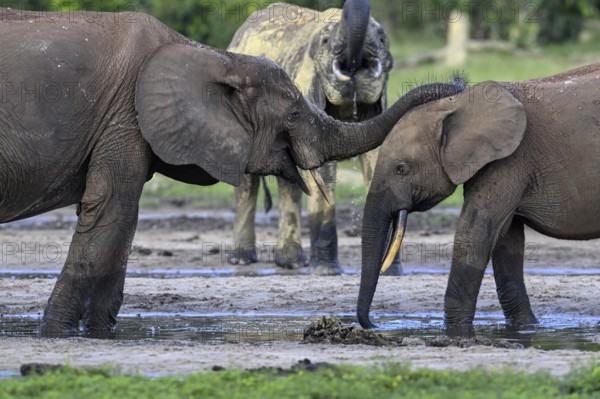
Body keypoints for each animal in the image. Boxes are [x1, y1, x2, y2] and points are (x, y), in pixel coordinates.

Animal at [223, 0, 396, 276]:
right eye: (325, 41)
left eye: (381, 39)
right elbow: (323, 166)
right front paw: (327, 272)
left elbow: (379, 157)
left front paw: (389, 272)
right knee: (248, 184)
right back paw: (241, 260)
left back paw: (291, 263)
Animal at [354, 65, 600, 334]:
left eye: (401, 169)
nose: (374, 324)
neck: (458, 104)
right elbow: (506, 241)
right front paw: (524, 329)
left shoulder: (510, 161)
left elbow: (475, 235)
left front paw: (454, 332)